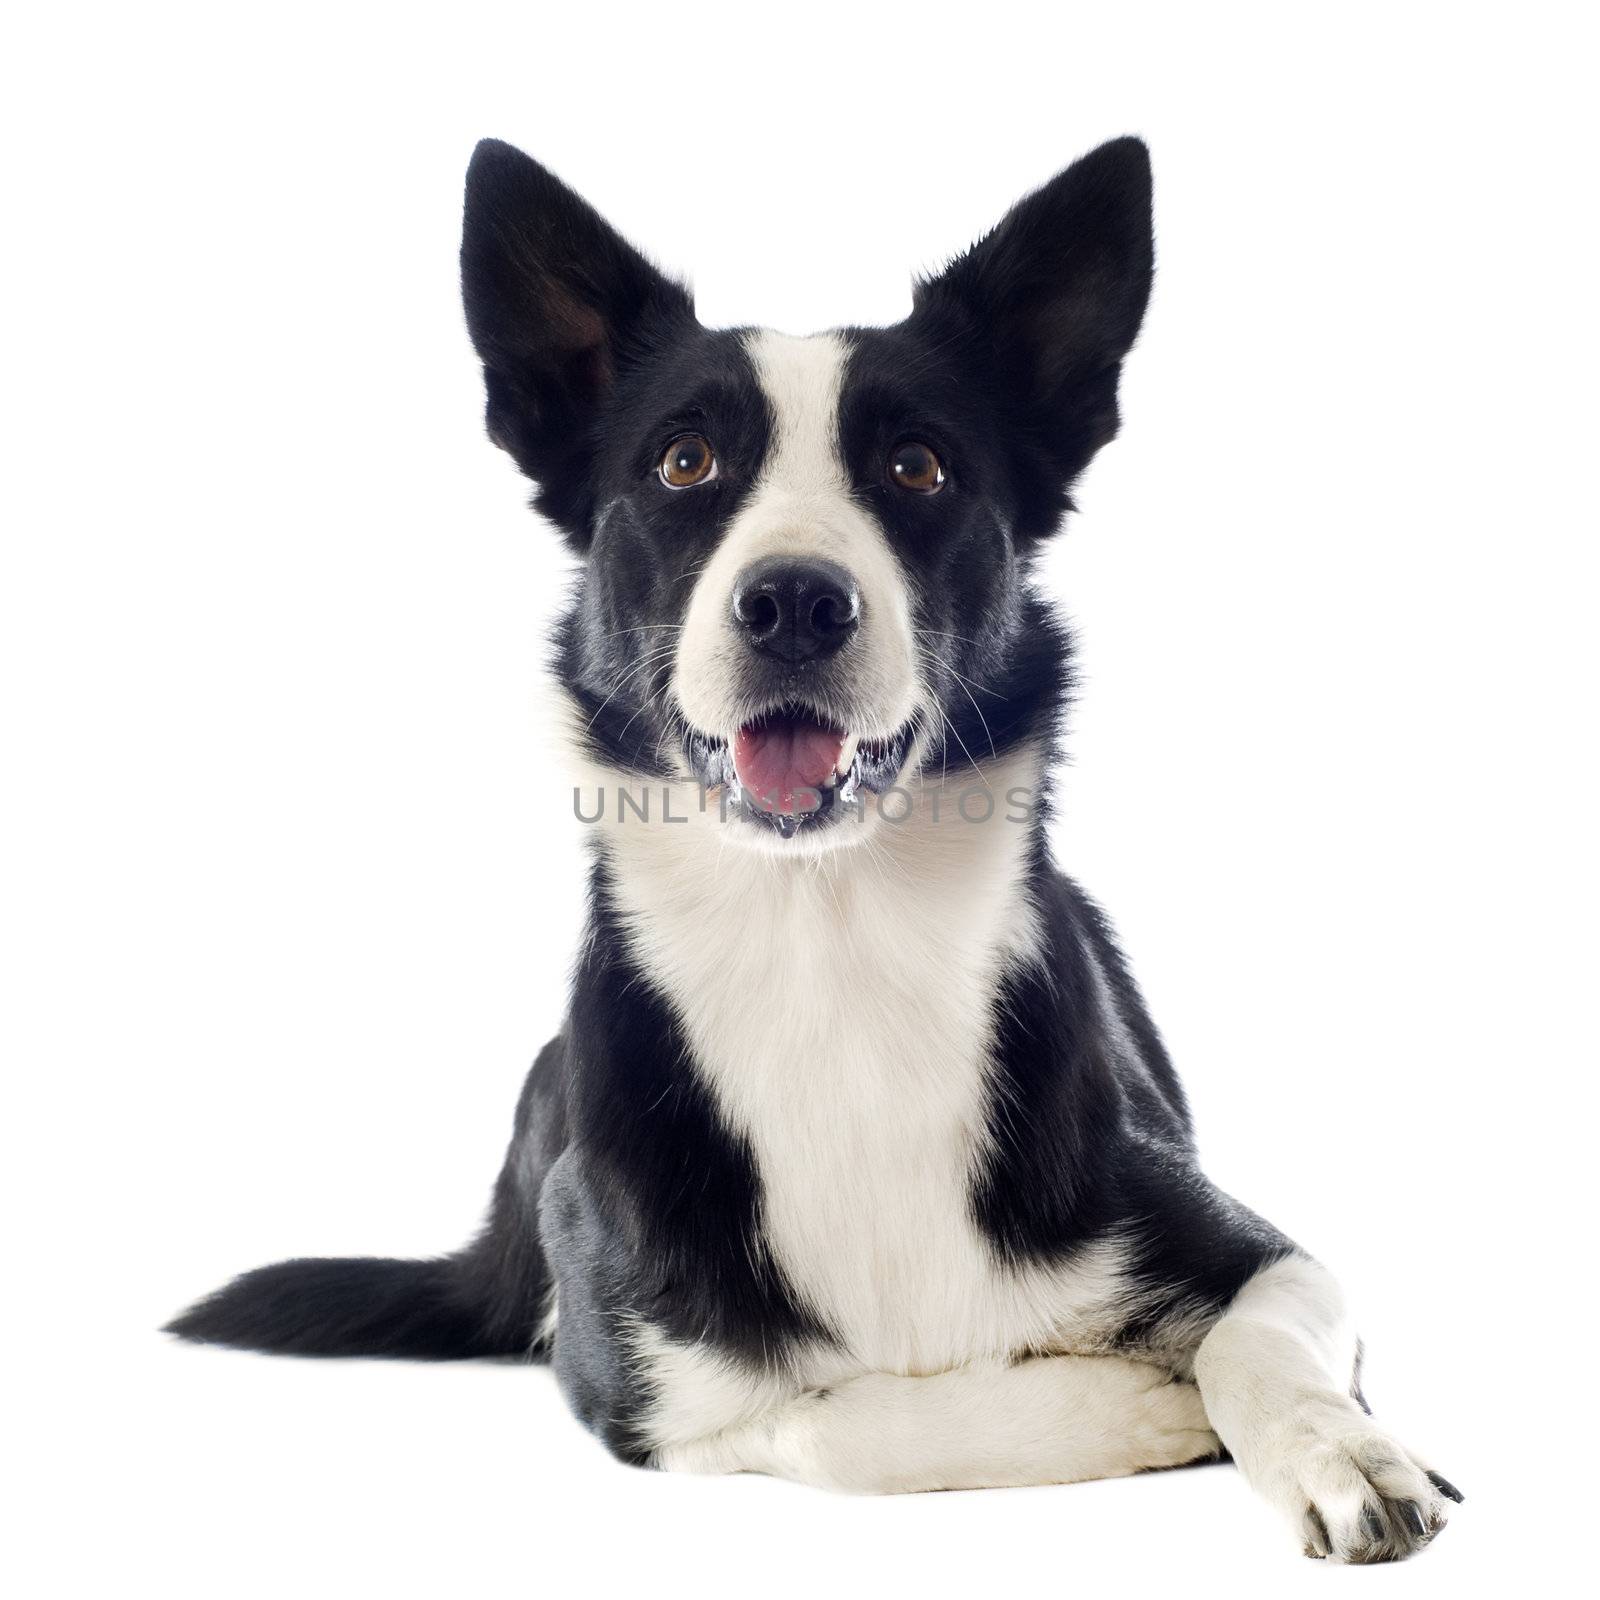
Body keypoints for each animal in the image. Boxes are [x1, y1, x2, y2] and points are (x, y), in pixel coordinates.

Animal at [172, 137, 1465, 1561]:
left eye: (918, 467)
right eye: (684, 463)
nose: (793, 600)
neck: (828, 947)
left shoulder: (1260, 1250)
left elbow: (1261, 1340)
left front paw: (1340, 1452)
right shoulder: (652, 1383)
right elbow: (854, 1421)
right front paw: (1140, 1403)